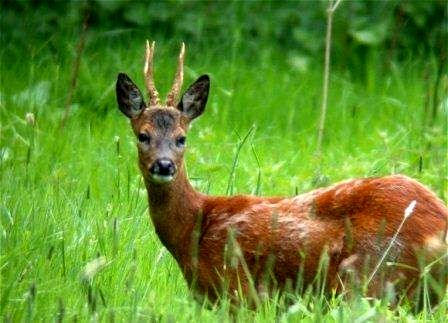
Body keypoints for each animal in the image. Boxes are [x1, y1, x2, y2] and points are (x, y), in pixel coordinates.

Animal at [116, 41, 448, 306]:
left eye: (181, 138)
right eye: (143, 135)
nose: (163, 165)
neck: (194, 229)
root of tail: (439, 224)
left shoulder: (237, 291)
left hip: (370, 279)